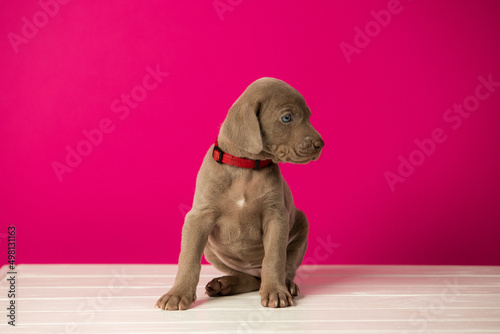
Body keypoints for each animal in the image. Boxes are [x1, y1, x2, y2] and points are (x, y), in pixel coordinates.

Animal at [158, 78, 326, 310]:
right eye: (286, 118)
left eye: (308, 117)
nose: (320, 144)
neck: (245, 168)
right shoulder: (198, 217)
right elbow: (188, 258)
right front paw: (177, 293)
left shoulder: (276, 216)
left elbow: (274, 257)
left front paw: (275, 291)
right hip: (212, 251)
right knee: (248, 278)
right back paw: (224, 284)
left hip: (301, 224)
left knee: (281, 267)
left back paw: (286, 284)